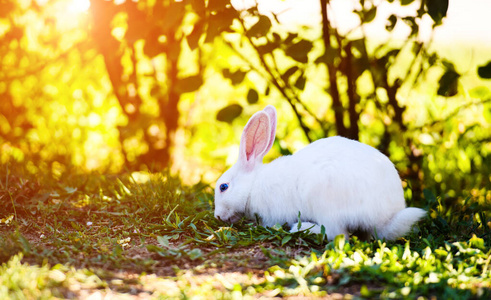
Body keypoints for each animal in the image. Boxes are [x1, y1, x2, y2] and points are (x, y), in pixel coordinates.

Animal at [215, 104, 426, 240]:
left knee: (336, 233)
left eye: (223, 187)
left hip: (323, 201)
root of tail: (385, 218)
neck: (252, 185)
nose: (217, 216)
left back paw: (301, 229)